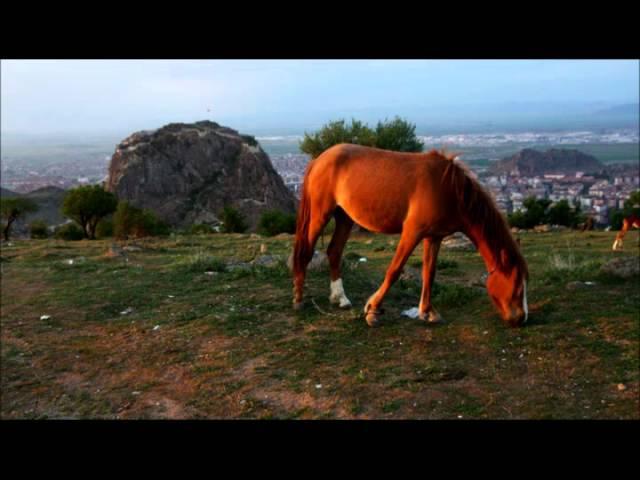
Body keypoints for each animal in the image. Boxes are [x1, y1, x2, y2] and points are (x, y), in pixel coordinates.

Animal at [292, 144, 528, 328]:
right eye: (517, 283)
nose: (522, 318)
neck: (447, 188)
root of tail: (319, 159)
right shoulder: (412, 232)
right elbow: (394, 270)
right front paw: (372, 310)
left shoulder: (434, 237)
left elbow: (429, 273)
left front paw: (428, 311)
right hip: (321, 214)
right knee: (306, 251)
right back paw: (299, 298)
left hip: (344, 217)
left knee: (334, 251)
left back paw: (340, 298)